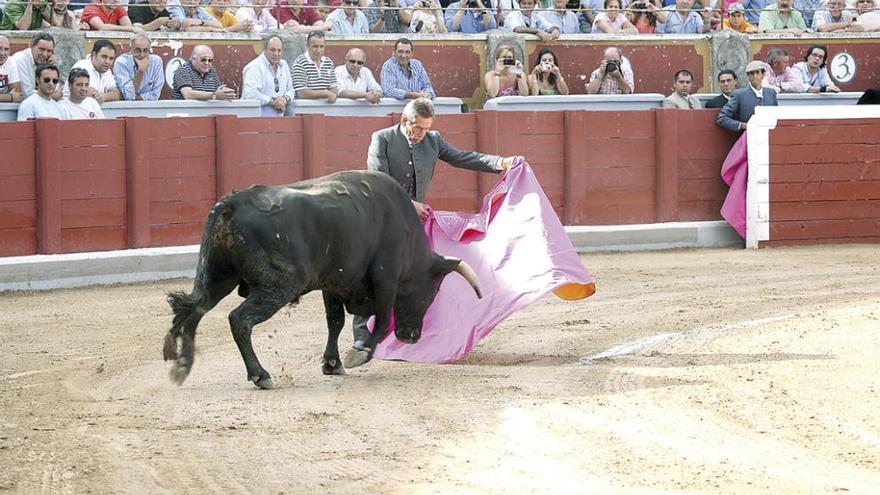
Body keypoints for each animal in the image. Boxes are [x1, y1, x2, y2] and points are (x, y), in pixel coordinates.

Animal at [163, 172, 482, 390]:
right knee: (239, 319)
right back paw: (260, 375)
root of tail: (230, 203)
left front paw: (332, 363)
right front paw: (358, 355)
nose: (412, 337)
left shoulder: (334, 282)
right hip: (279, 285)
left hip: (217, 277)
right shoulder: (386, 277)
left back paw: (182, 365)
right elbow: (381, 322)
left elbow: (335, 322)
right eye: (433, 291)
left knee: (194, 311)